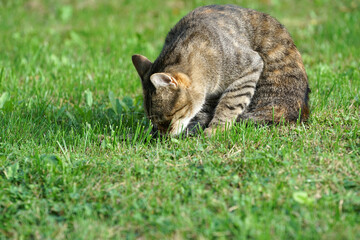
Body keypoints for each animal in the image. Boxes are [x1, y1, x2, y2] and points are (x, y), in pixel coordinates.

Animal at [131, 4, 310, 136]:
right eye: (155, 122)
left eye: (167, 121)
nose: (163, 136)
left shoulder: (250, 65)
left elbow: (230, 103)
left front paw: (215, 129)